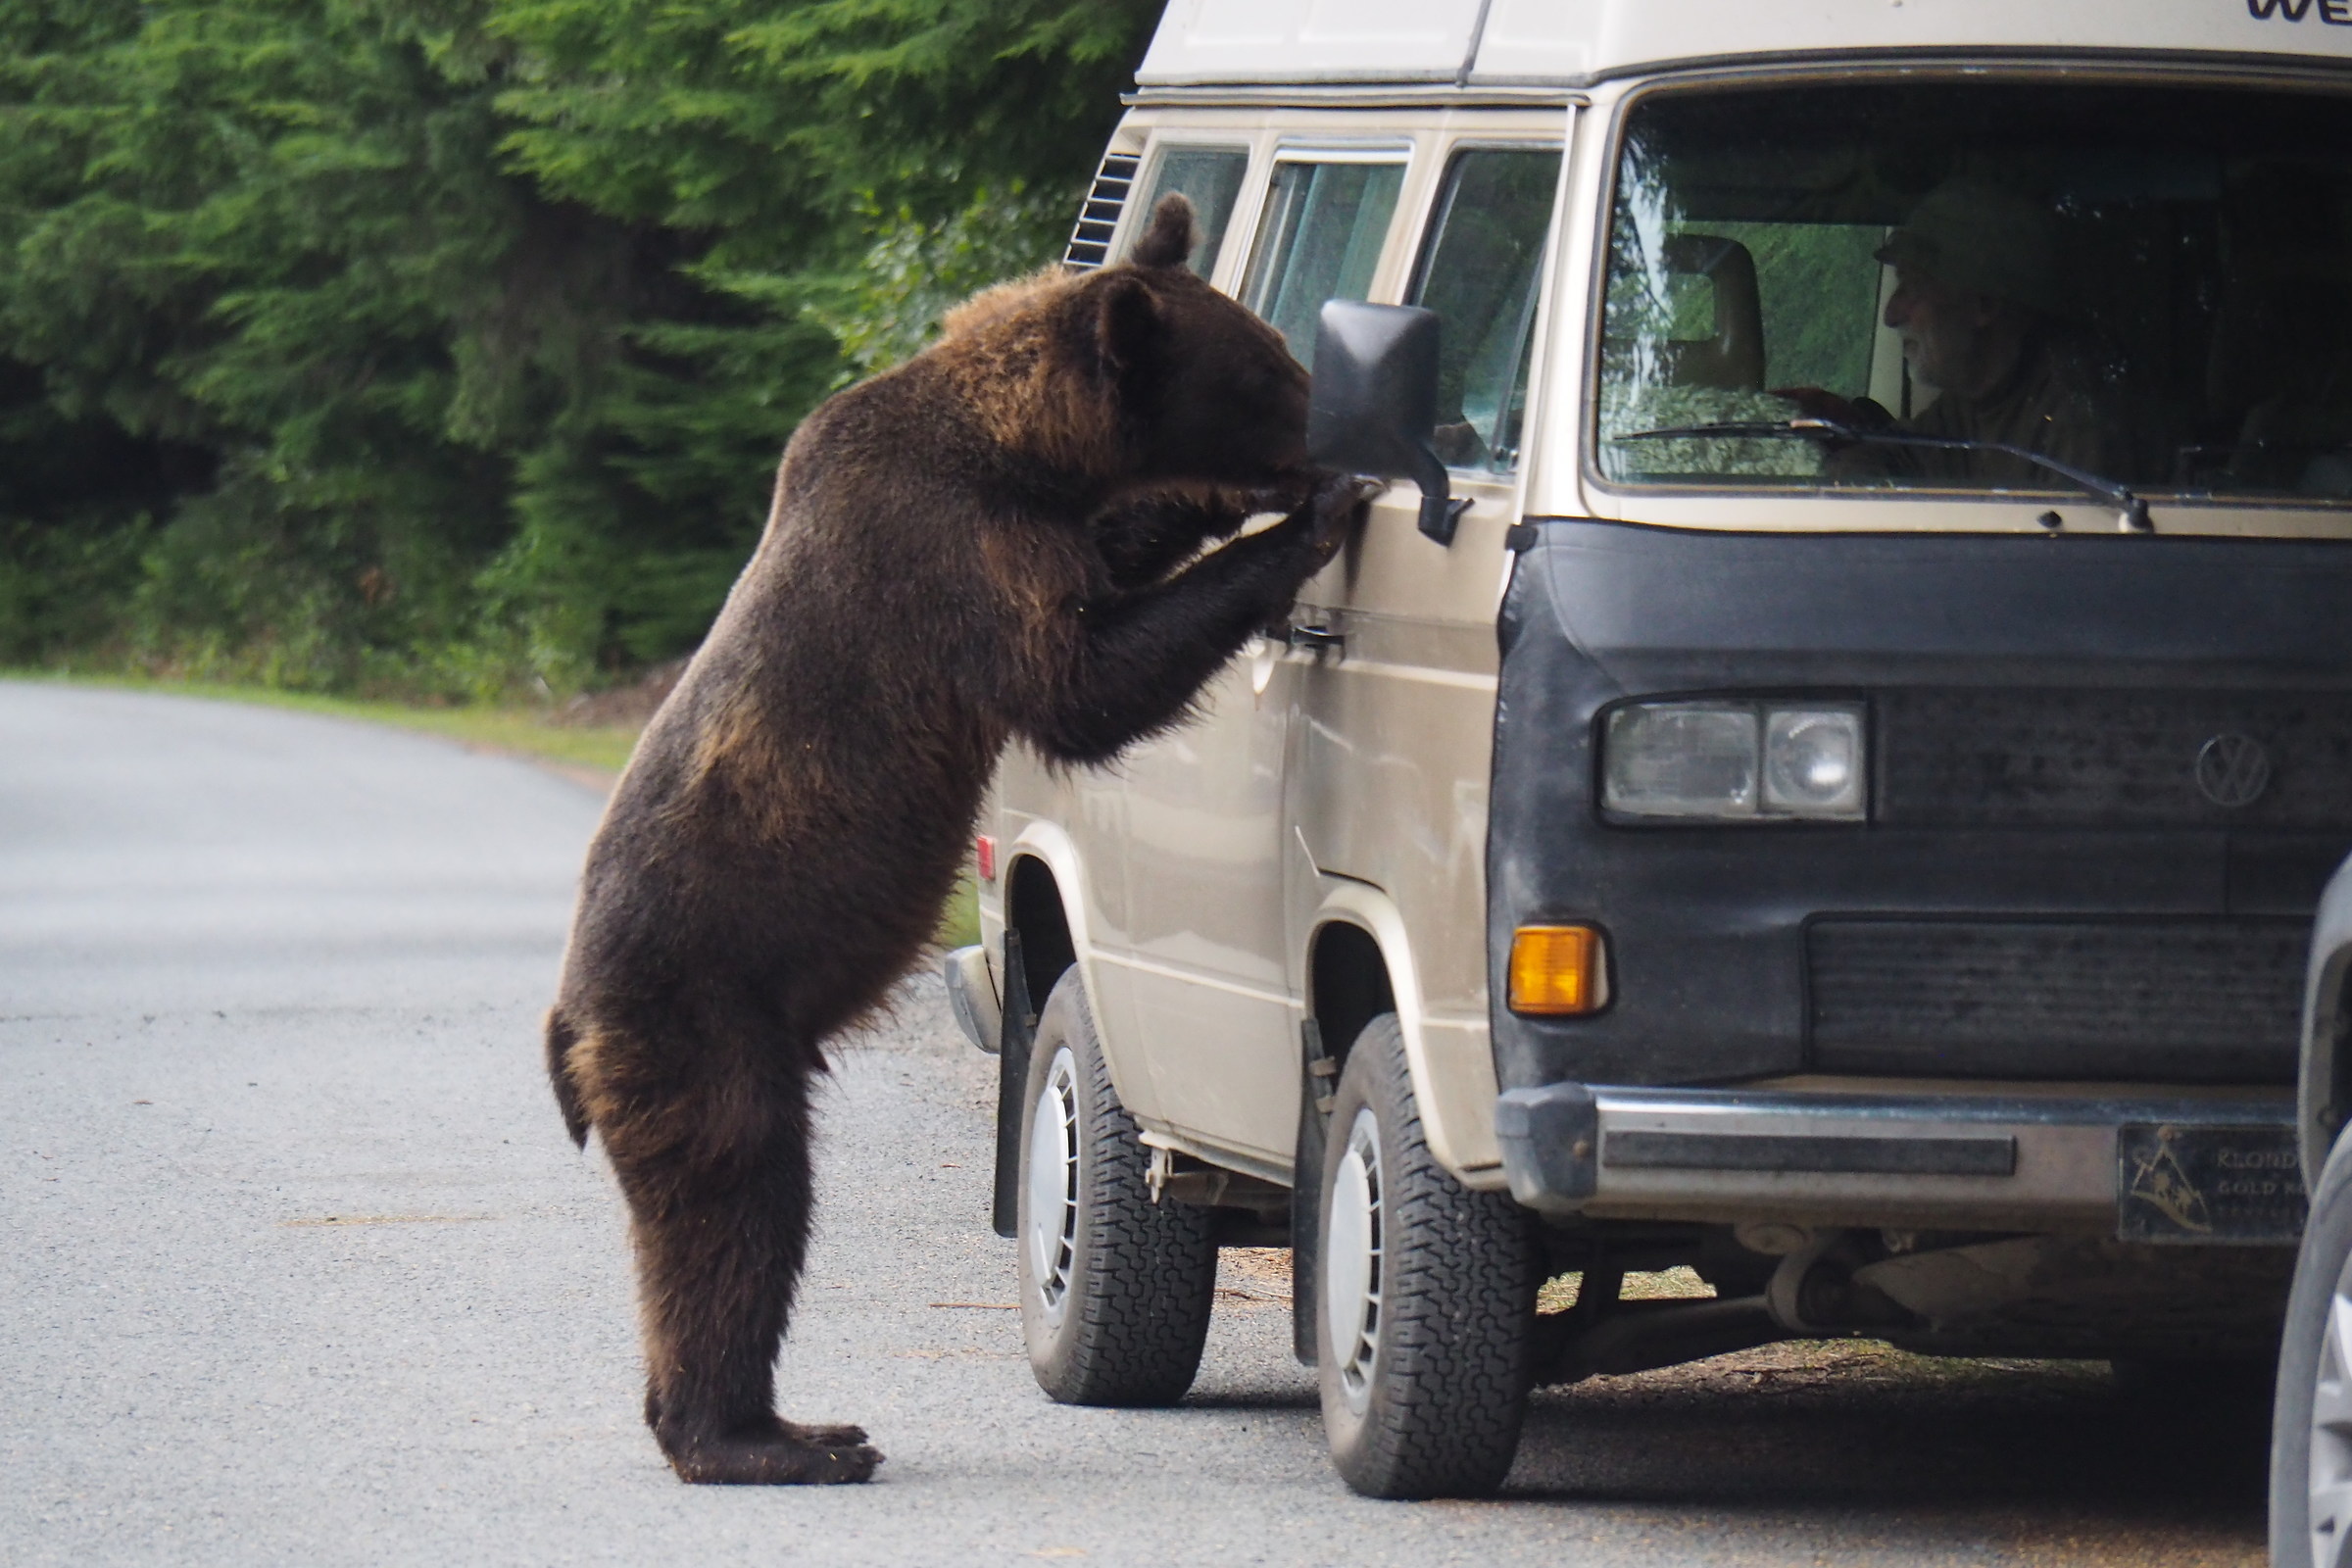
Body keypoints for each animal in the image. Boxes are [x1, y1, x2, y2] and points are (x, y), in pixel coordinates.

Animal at [544, 193, 1373, 1485]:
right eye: (1274, 368)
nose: (1324, 422)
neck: (1011, 449)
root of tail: (566, 1026)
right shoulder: (952, 558)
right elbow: (1085, 679)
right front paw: (1308, 519)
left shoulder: (1039, 524)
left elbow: (1120, 552)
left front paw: (1209, 505)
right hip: (704, 1021)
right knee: (735, 1208)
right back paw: (775, 1433)